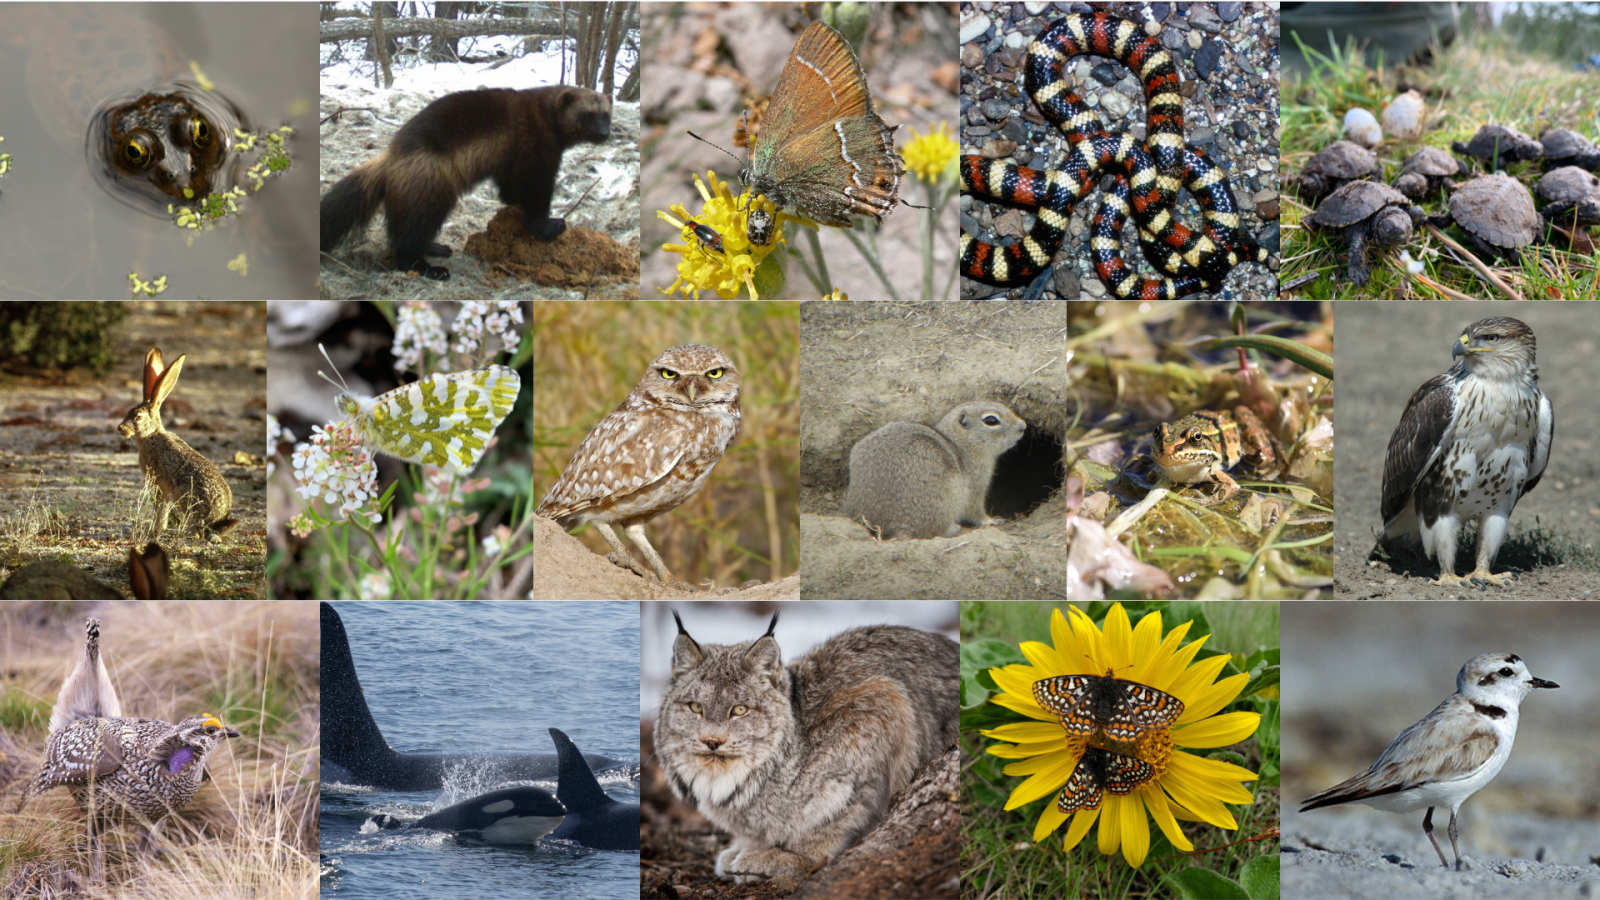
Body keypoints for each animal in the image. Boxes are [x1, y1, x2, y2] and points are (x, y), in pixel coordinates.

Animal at [838, 400, 1024, 538]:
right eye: (991, 420)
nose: (1023, 426)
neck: (958, 443)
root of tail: (895, 525)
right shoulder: (975, 487)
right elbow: (976, 511)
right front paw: (991, 521)